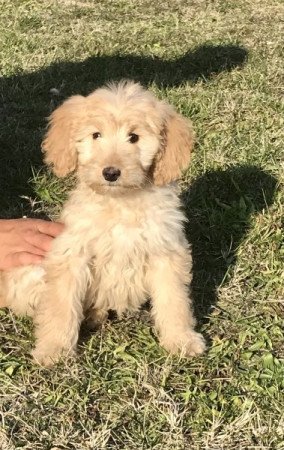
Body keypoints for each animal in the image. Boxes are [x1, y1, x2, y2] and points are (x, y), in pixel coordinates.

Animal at [0, 81, 205, 366]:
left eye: (134, 137)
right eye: (96, 135)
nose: (110, 172)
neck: (119, 203)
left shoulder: (165, 251)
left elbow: (174, 300)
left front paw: (182, 340)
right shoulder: (71, 253)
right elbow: (60, 304)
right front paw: (54, 349)